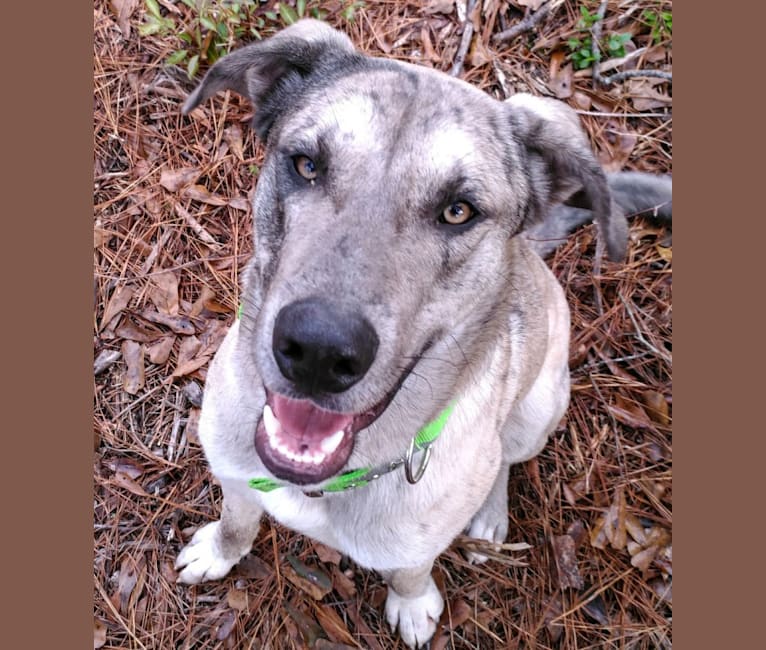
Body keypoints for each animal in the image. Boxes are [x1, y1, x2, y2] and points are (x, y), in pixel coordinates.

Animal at [174, 17, 672, 644]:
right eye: (306, 164)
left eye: (459, 211)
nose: (317, 351)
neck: (327, 479)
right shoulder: (237, 479)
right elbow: (236, 520)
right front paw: (219, 551)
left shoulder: (415, 541)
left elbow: (410, 570)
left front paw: (412, 606)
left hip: (537, 410)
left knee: (504, 459)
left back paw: (489, 516)